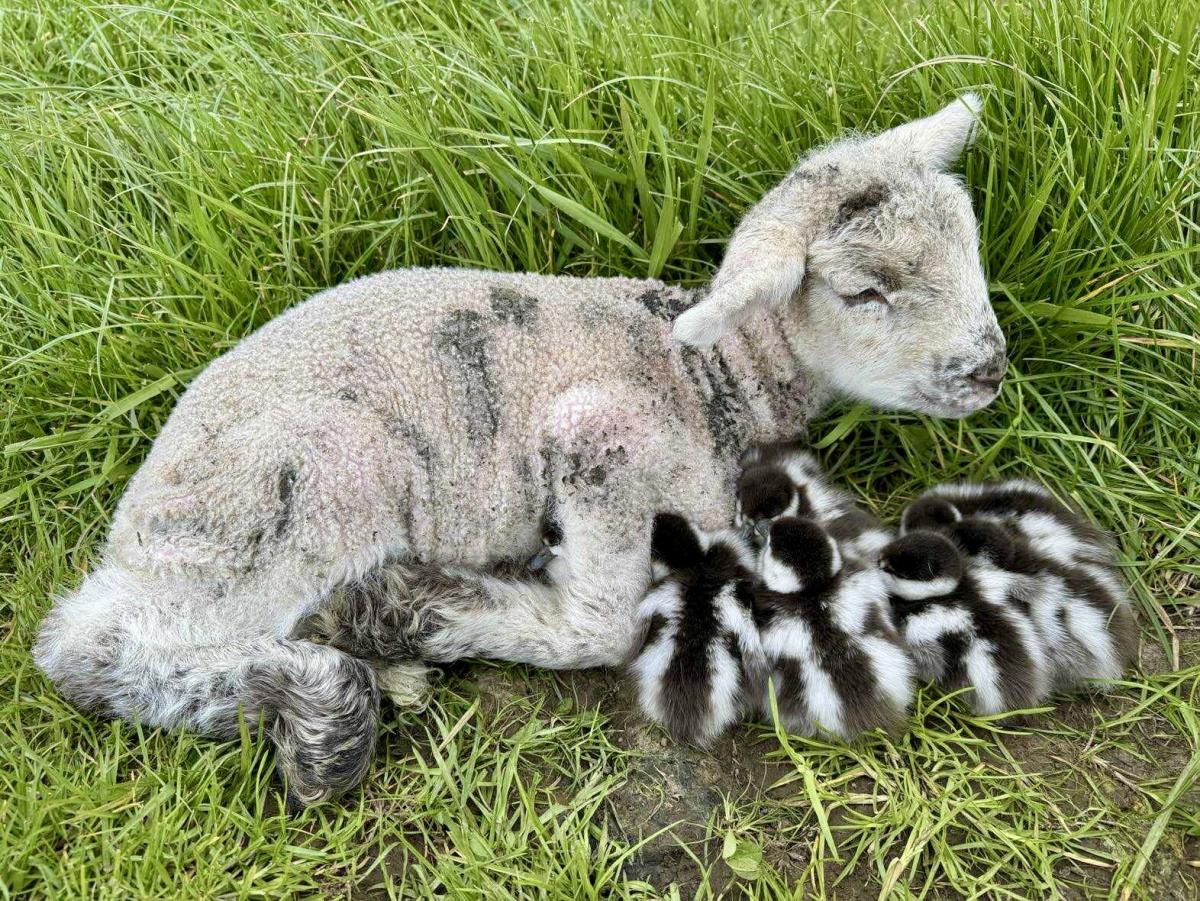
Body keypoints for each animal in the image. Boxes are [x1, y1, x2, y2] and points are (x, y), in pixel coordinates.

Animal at [34, 95, 1006, 805]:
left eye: (971, 243)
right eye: (864, 290)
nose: (990, 368)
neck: (710, 373)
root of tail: (136, 523)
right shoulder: (598, 435)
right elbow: (599, 624)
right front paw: (424, 608)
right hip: (303, 487)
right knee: (95, 649)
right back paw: (330, 692)